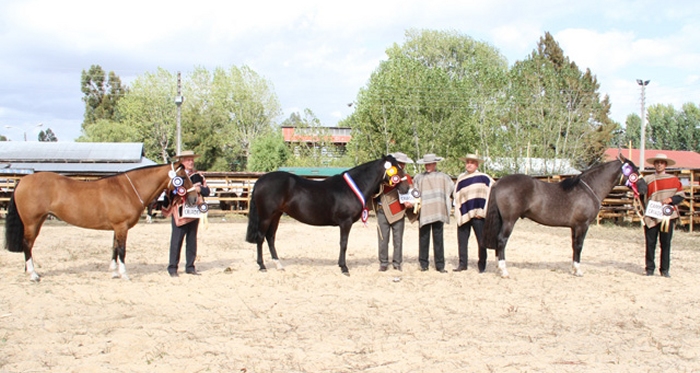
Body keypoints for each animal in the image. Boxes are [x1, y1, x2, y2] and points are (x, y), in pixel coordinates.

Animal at [4, 161, 197, 280]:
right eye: (183, 177)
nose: (195, 198)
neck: (127, 190)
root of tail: (22, 181)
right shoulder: (121, 227)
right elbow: (122, 250)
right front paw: (124, 274)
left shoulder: (117, 228)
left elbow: (114, 249)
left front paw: (114, 273)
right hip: (32, 222)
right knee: (27, 244)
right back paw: (33, 274)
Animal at [246, 154, 410, 274]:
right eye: (396, 169)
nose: (407, 187)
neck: (352, 188)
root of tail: (260, 180)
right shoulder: (345, 222)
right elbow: (343, 244)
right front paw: (344, 268)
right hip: (266, 216)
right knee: (261, 238)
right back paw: (262, 266)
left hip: (276, 215)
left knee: (270, 237)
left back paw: (278, 265)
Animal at [484, 154, 644, 276]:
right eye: (634, 170)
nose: (643, 186)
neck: (588, 189)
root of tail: (498, 183)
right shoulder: (582, 225)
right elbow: (579, 245)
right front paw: (578, 271)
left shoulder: (574, 227)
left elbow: (574, 246)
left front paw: (573, 268)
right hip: (509, 221)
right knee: (501, 240)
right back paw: (504, 270)